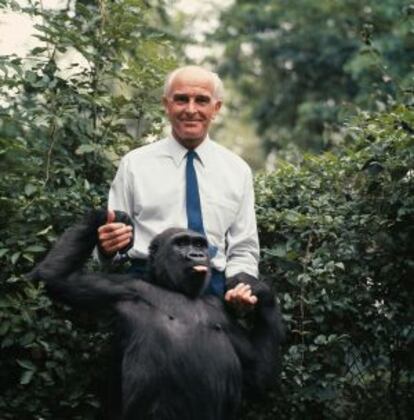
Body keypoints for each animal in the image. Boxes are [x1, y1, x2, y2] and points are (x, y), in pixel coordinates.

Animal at [29, 212, 284, 418]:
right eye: (181, 243)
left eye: (200, 244)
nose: (196, 254)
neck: (175, 290)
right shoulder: (122, 288)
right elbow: (56, 278)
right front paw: (106, 219)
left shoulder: (221, 312)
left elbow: (259, 374)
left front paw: (258, 291)